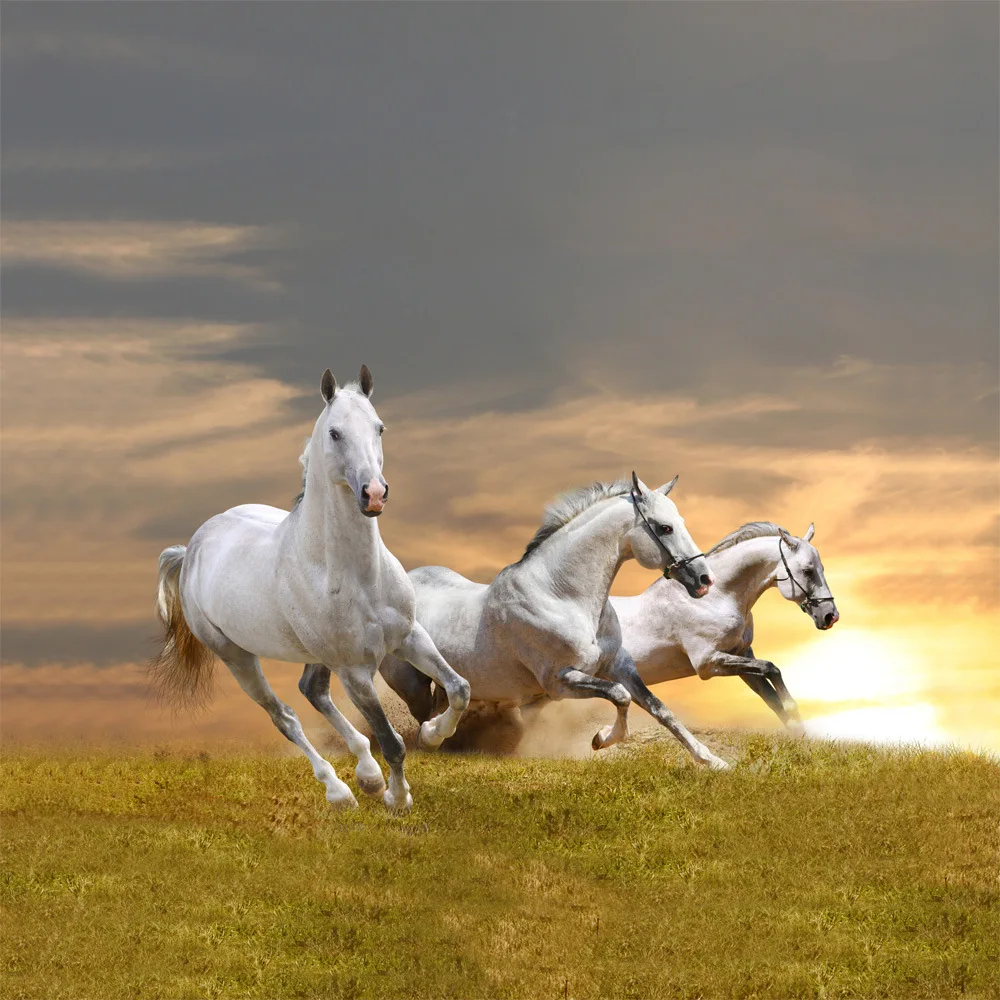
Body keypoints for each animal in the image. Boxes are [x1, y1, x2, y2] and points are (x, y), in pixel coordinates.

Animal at [150, 366, 470, 811]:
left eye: (380, 427)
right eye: (335, 433)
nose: (374, 494)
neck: (358, 575)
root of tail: (192, 548)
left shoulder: (409, 637)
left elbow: (460, 688)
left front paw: (433, 735)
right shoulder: (354, 670)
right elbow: (391, 741)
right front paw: (398, 798)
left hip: (316, 655)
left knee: (312, 691)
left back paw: (367, 776)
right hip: (237, 658)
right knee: (283, 715)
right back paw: (340, 791)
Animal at [380, 474, 731, 769]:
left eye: (679, 522)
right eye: (664, 528)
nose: (704, 580)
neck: (561, 595)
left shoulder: (618, 665)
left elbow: (659, 709)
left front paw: (714, 762)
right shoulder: (560, 681)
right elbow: (620, 695)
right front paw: (602, 739)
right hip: (411, 684)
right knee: (427, 713)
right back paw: (431, 737)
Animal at [611, 522, 839, 729]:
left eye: (821, 568)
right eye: (808, 571)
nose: (830, 616)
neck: (715, 598)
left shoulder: (742, 656)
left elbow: (773, 700)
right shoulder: (708, 663)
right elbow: (771, 669)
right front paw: (794, 712)